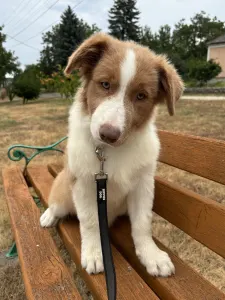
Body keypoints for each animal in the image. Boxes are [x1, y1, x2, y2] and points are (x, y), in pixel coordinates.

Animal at [40, 32, 184, 276]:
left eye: (141, 96)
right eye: (105, 84)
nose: (108, 134)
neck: (109, 152)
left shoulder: (143, 185)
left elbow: (143, 223)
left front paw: (151, 255)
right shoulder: (83, 184)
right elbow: (89, 222)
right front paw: (94, 253)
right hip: (63, 190)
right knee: (57, 204)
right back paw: (49, 215)